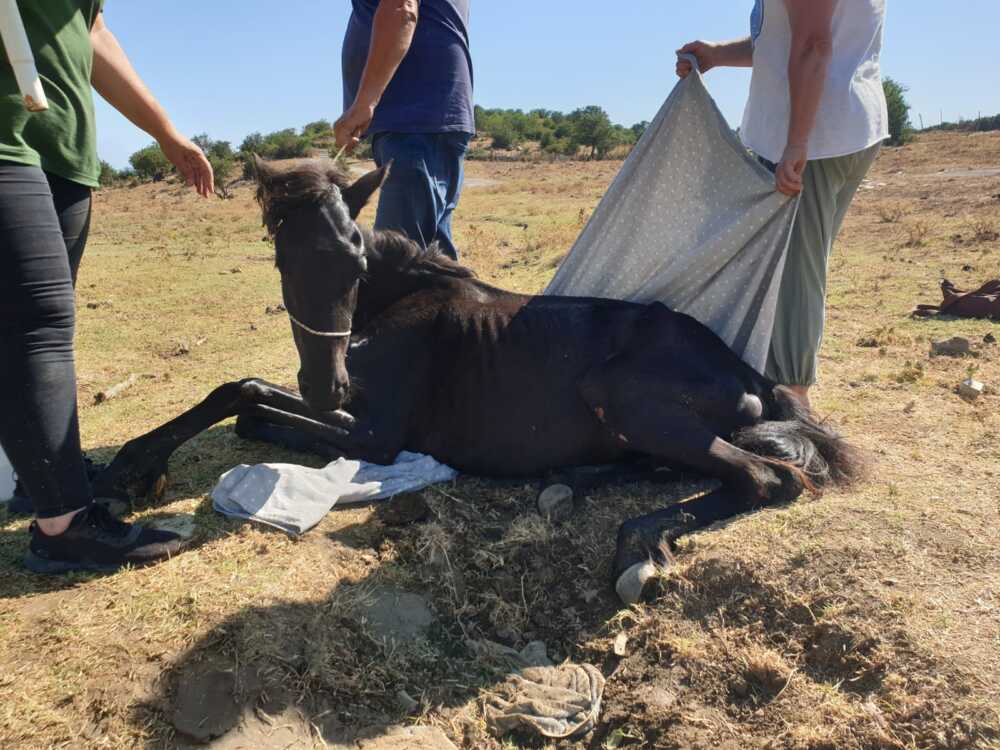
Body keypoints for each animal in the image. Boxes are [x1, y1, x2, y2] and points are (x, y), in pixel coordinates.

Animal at [94, 157, 862, 604]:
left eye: (354, 260)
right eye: (282, 261)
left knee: (767, 478)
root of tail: (752, 372)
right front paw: (134, 465)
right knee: (682, 466)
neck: (395, 305)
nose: (325, 387)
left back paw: (637, 551)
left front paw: (135, 465)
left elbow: (248, 395)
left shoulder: (378, 436)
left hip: (624, 397)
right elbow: (248, 398)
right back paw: (570, 484)